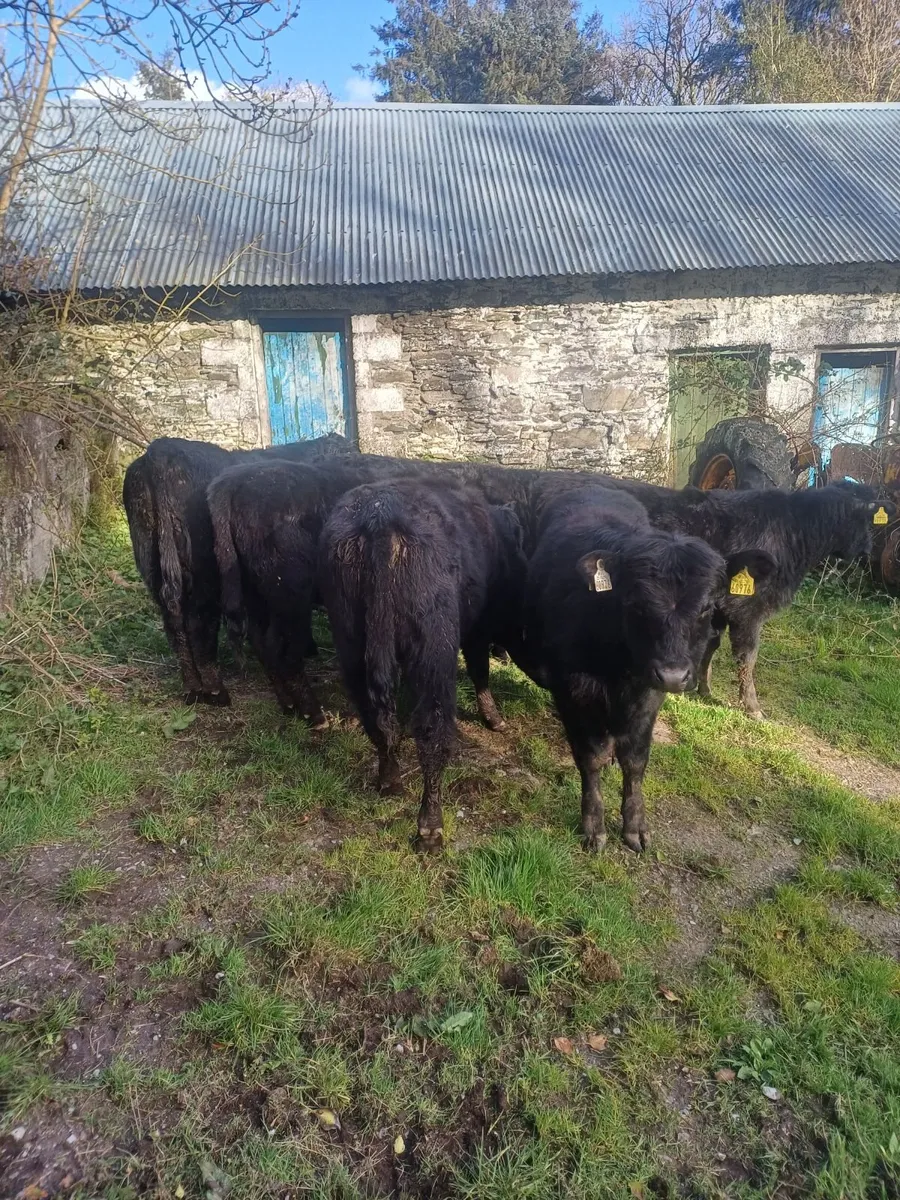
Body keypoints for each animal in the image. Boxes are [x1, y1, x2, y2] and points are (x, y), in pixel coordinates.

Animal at [122, 433, 353, 705]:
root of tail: (161, 450)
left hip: (153, 568)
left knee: (175, 625)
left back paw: (193, 690)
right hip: (204, 575)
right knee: (200, 623)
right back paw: (216, 692)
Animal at [319, 479, 526, 851]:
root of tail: (380, 515)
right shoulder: (477, 629)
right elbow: (479, 670)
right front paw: (494, 718)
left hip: (351, 641)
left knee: (376, 720)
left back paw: (390, 780)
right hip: (433, 648)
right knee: (432, 730)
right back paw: (430, 826)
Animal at [523, 486, 774, 853]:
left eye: (706, 608)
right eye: (635, 603)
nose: (672, 675)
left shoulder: (649, 695)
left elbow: (636, 759)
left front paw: (635, 827)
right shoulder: (572, 689)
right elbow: (590, 757)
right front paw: (593, 827)